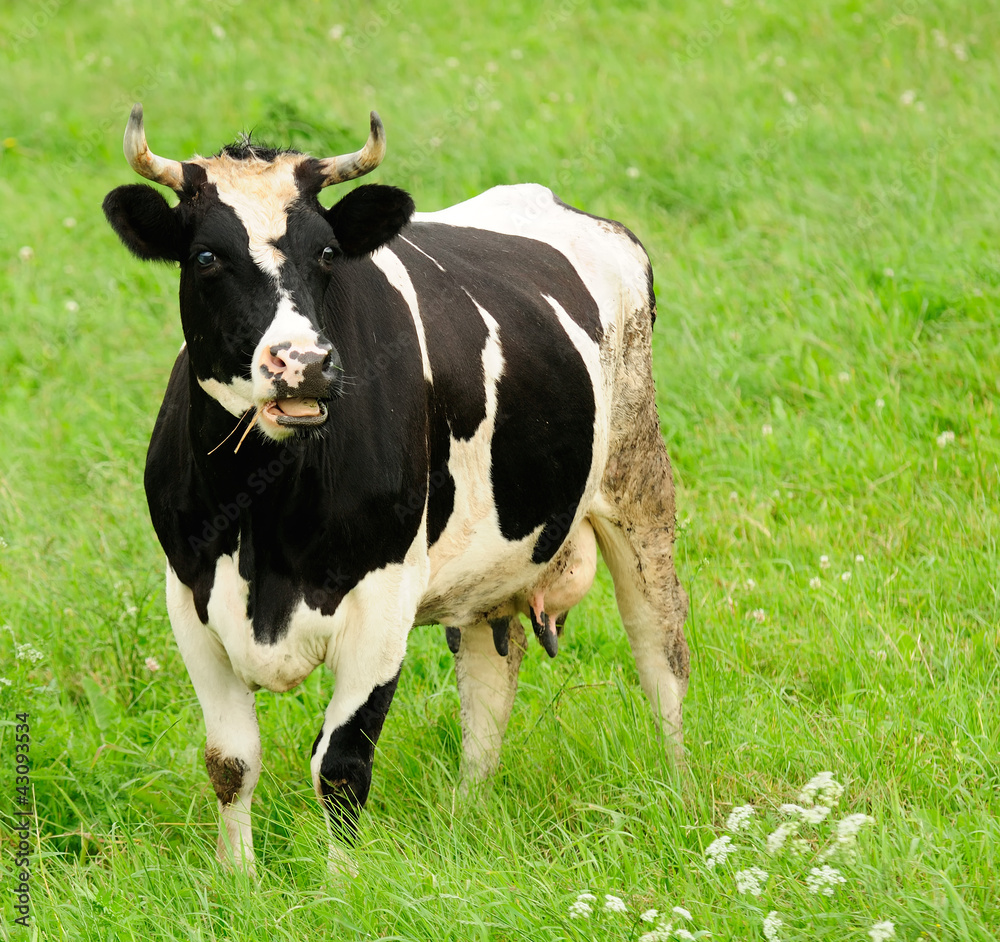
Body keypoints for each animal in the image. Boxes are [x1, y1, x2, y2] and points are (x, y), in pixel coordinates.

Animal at [105, 105, 692, 876]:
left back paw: (681, 798)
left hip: (638, 484)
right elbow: (230, 761)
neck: (265, 516)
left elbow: (341, 765)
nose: (303, 363)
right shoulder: (189, 592)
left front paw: (340, 886)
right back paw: (466, 819)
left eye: (326, 253)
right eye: (205, 257)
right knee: (490, 683)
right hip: (490, 567)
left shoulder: (383, 597)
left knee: (661, 656)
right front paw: (239, 881)